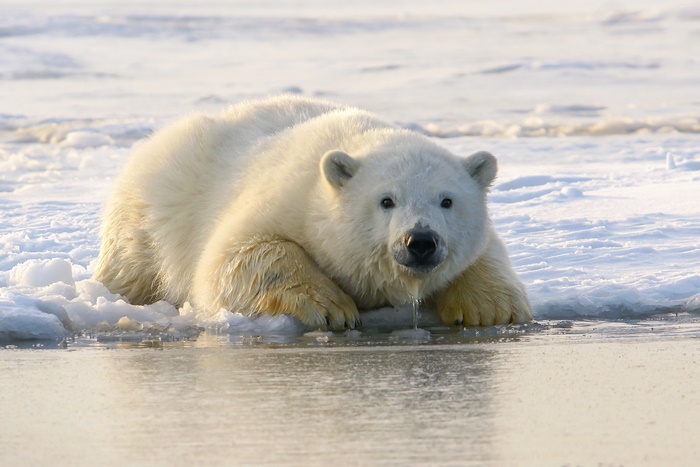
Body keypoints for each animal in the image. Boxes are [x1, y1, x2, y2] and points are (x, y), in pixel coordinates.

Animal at [94, 95, 532, 329]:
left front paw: (491, 308)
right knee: (132, 265)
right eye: (386, 200)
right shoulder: (284, 199)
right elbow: (235, 257)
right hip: (154, 209)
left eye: (447, 200)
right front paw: (332, 308)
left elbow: (486, 251)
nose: (420, 241)